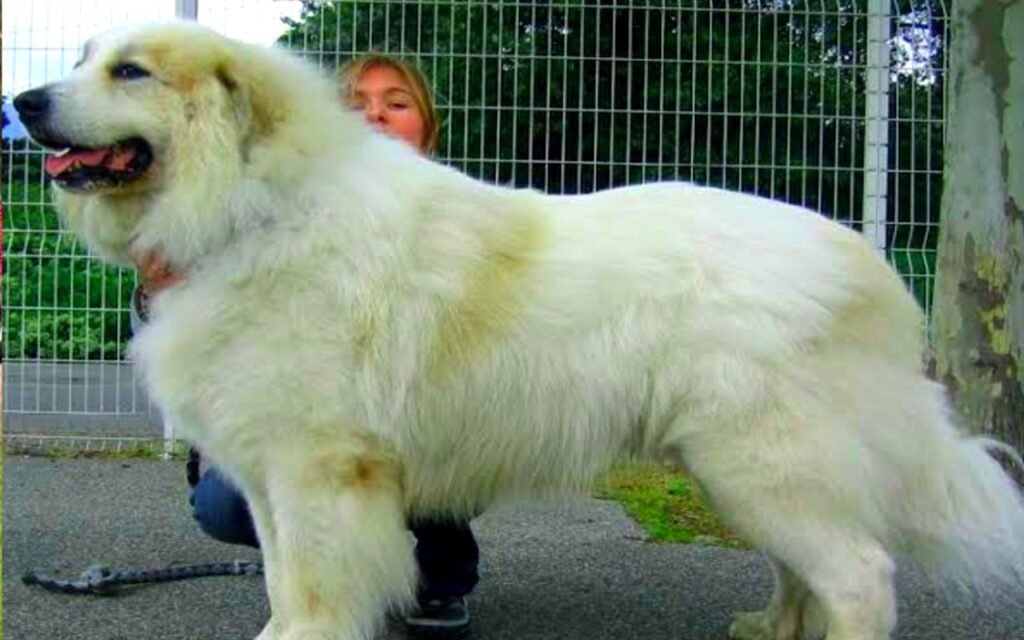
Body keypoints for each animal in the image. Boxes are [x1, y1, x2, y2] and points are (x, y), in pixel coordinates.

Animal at [14, 19, 1024, 638]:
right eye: (84, 58)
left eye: (130, 71)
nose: (25, 102)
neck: (249, 208)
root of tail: (867, 265)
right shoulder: (269, 474)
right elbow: (278, 576)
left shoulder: (318, 469)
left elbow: (311, 582)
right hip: (748, 472)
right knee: (807, 569)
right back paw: (771, 630)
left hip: (763, 462)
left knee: (859, 573)